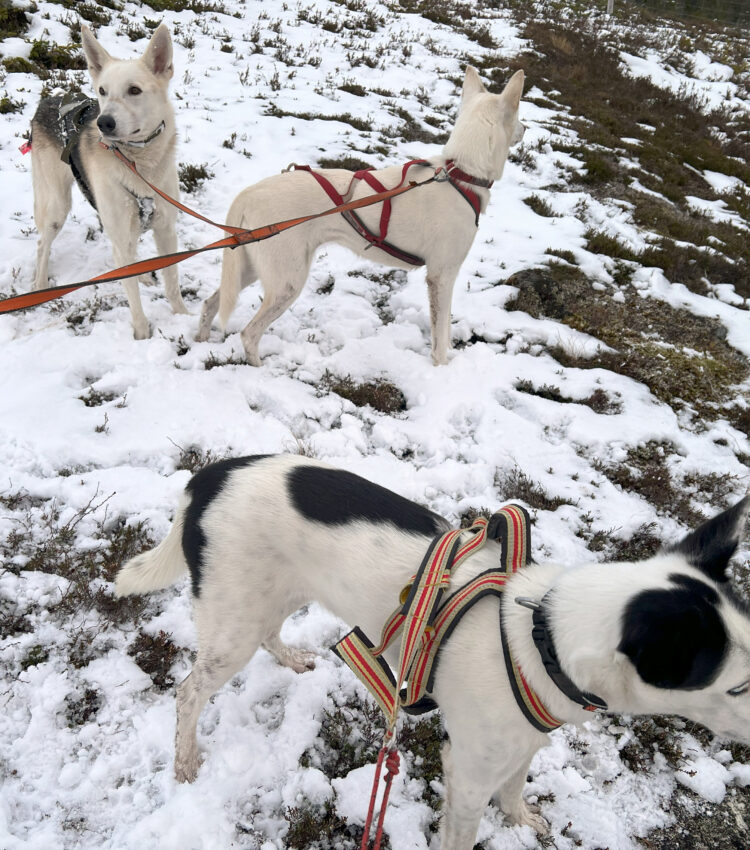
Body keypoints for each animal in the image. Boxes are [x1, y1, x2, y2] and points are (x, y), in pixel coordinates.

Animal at [30, 24, 187, 334]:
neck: (139, 165)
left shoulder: (166, 230)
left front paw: (184, 318)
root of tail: (48, 101)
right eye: (102, 91)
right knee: (42, 244)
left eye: (134, 90)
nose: (104, 123)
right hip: (57, 206)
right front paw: (142, 335)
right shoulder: (121, 234)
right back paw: (40, 286)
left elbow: (173, 284)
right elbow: (134, 302)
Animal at [114, 454, 750, 848]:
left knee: (268, 636)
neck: (537, 636)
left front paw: (521, 819)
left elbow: (515, 790)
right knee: (188, 692)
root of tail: (207, 478)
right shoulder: (466, 773)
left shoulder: (522, 744)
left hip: (270, 599)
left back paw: (291, 659)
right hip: (234, 623)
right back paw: (185, 761)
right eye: (740, 686)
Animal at [200, 68, 528, 366]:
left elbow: (445, 329)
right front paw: (443, 368)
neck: (459, 175)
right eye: (518, 115)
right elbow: (440, 337)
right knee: (248, 334)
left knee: (210, 303)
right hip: (287, 282)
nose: (526, 129)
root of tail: (249, 193)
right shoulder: (441, 276)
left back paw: (200, 340)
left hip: (250, 267)